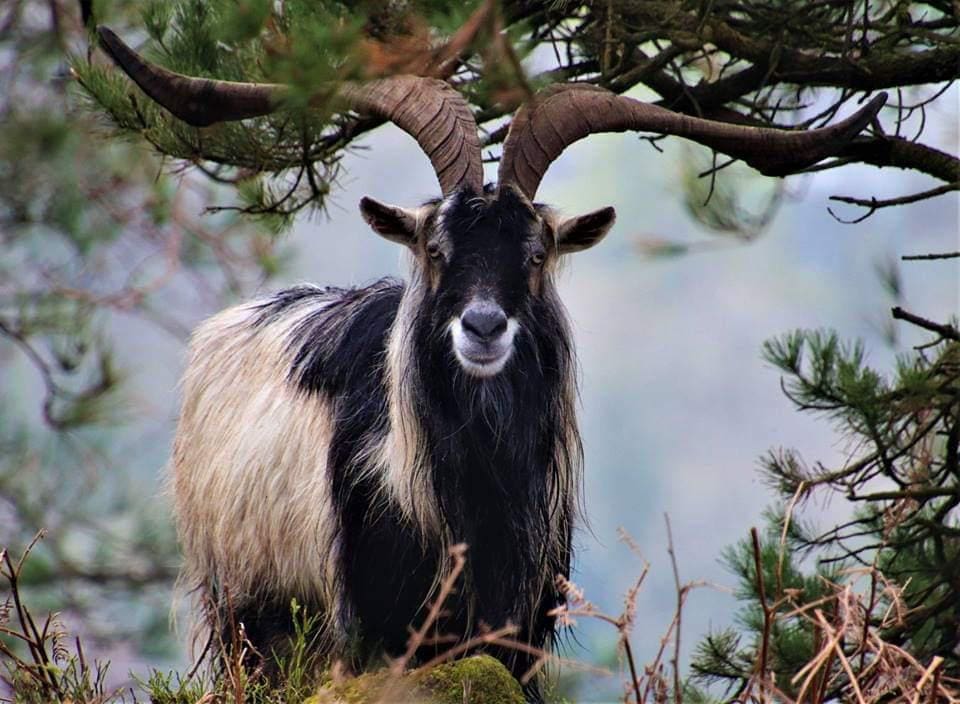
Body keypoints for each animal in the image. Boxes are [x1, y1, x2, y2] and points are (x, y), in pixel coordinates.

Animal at [96, 25, 884, 700]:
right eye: (436, 248)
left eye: (535, 254)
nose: (482, 326)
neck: (476, 489)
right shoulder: (374, 630)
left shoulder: (518, 630)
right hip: (248, 616)